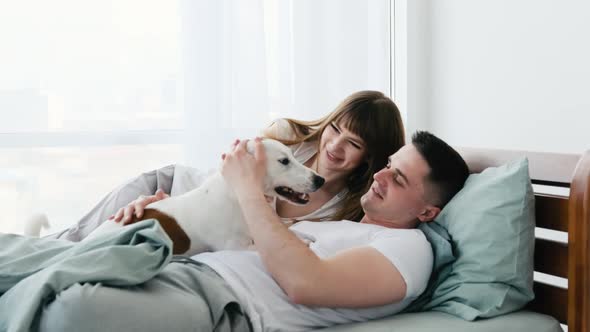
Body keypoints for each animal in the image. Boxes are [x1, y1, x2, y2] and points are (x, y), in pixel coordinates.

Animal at [25, 139, 326, 255]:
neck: (236, 197)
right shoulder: (234, 247)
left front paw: (304, 235)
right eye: (284, 161)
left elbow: (294, 234)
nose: (320, 179)